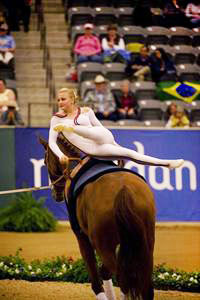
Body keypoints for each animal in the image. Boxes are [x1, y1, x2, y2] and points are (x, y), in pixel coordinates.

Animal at [39, 137, 155, 300]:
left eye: (44, 161)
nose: (55, 194)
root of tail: (123, 189)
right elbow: (105, 272)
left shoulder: (82, 237)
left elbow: (96, 279)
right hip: (145, 244)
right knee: (142, 284)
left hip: (103, 245)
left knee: (122, 278)